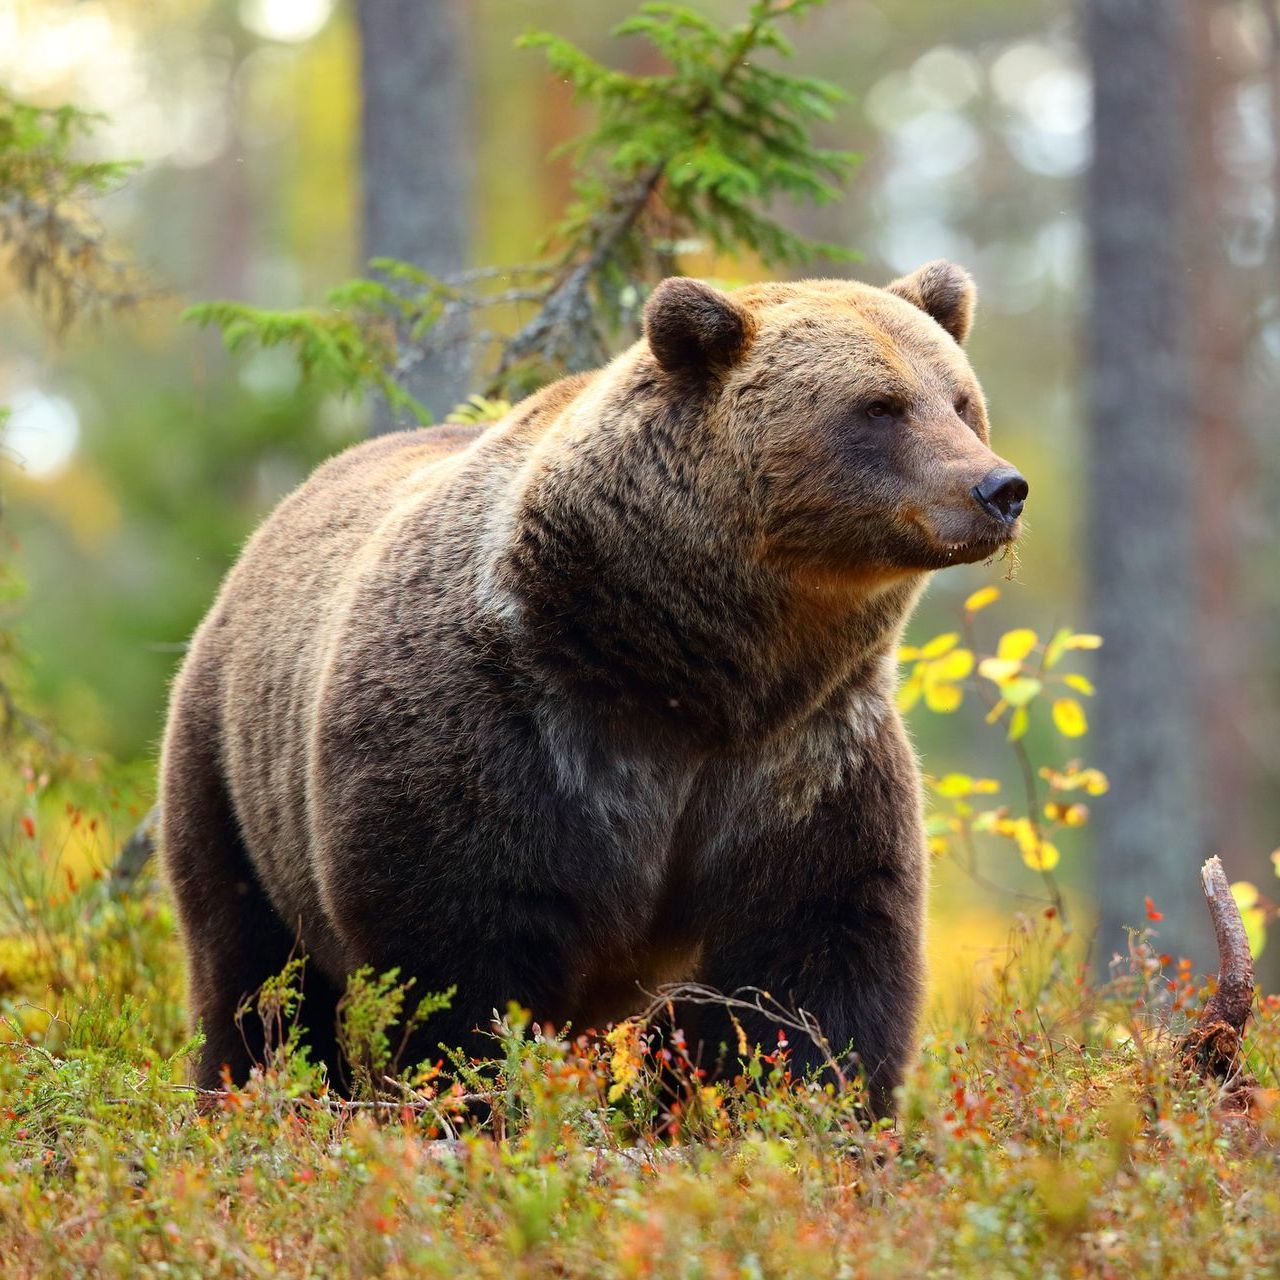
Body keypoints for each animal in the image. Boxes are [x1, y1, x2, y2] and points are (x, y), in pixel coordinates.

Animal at [159, 261, 1027, 1112]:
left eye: (959, 400)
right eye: (879, 406)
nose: (999, 488)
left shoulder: (803, 759)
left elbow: (817, 953)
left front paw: (808, 1102)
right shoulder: (509, 729)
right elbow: (460, 955)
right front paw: (475, 1099)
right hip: (232, 772)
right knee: (254, 974)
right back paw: (248, 1091)